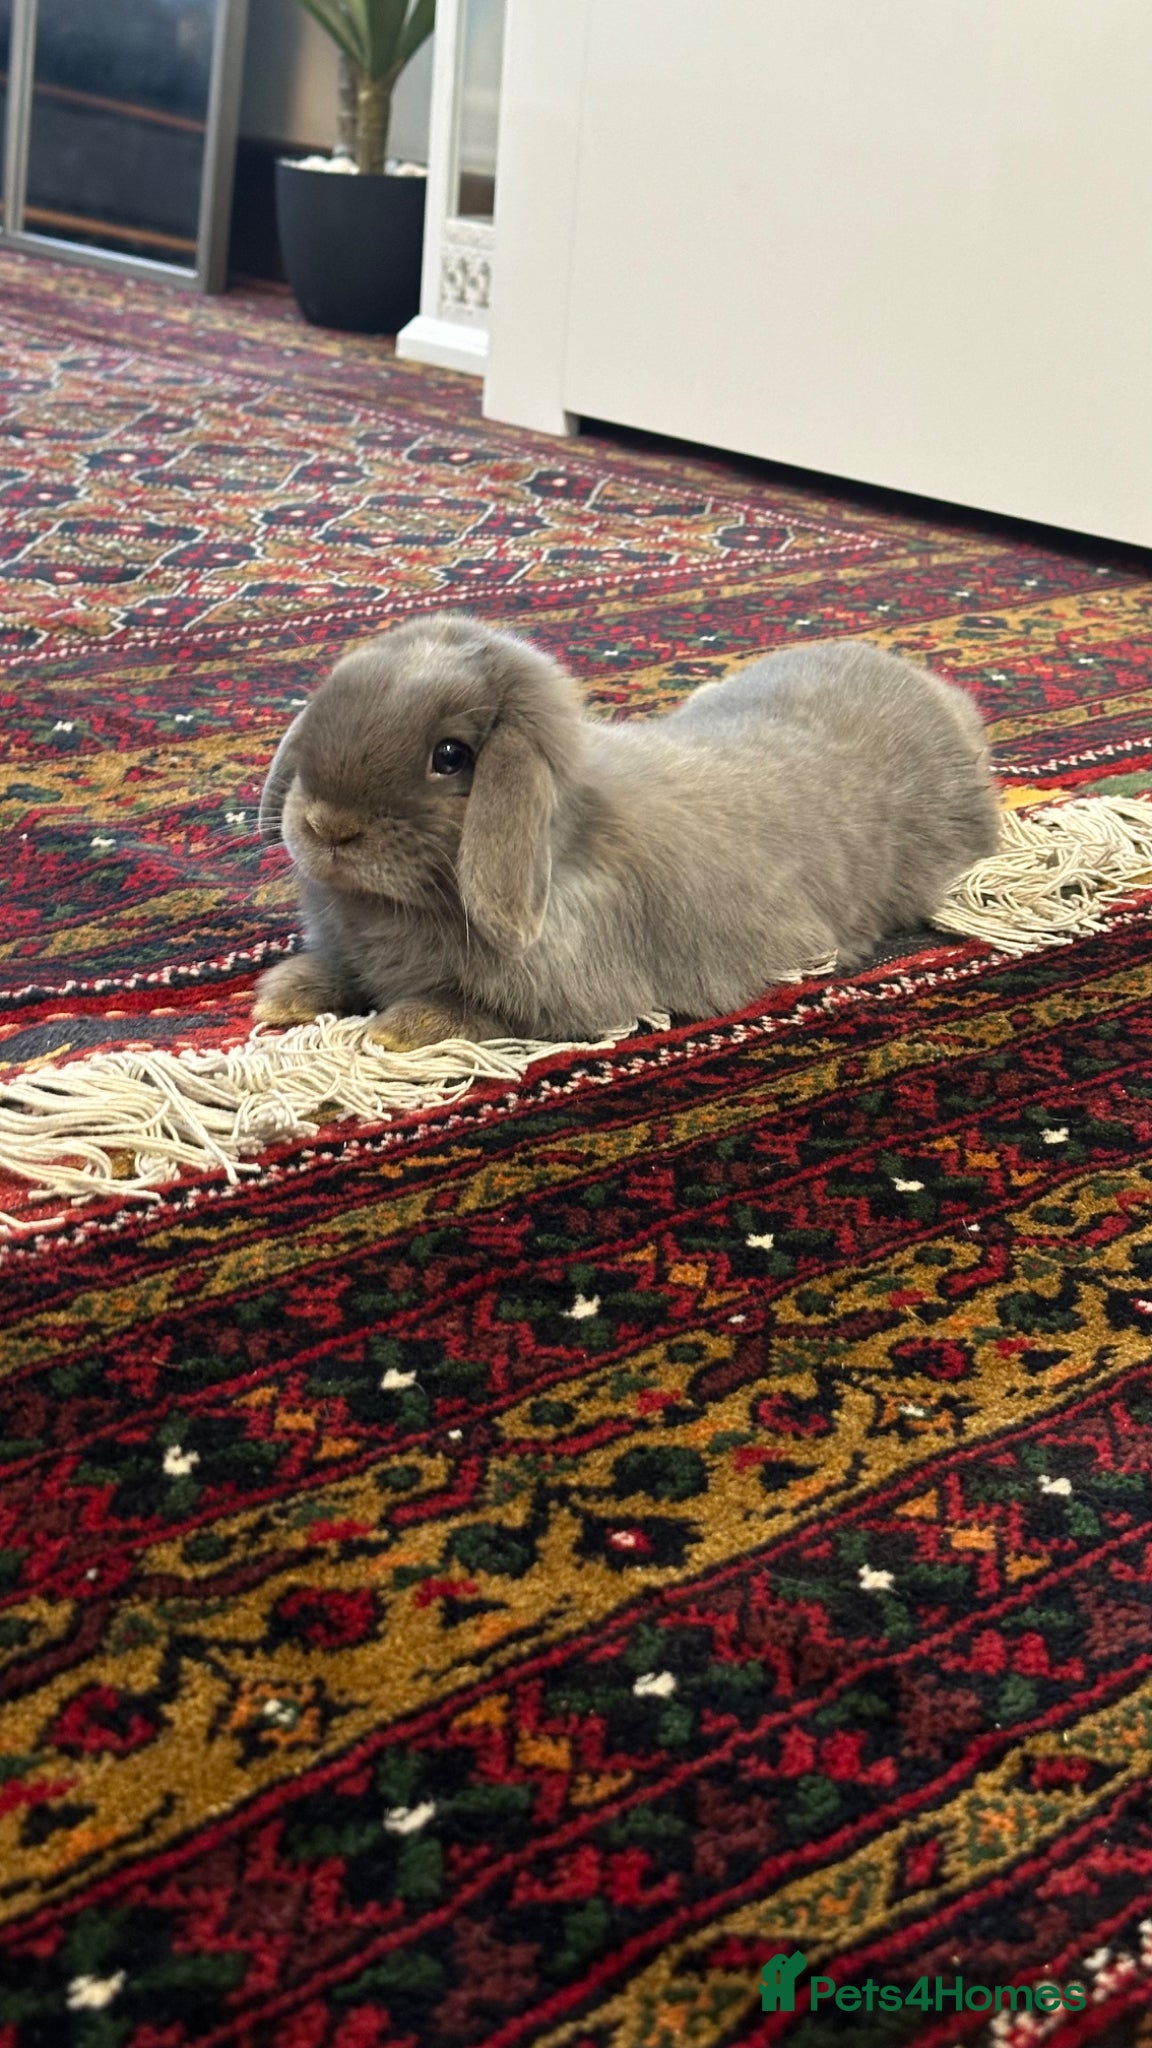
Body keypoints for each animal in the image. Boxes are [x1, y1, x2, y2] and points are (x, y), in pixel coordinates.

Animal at [253, 613, 1000, 1049]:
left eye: (451, 756)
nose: (327, 827)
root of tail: (940, 698)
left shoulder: (566, 1003)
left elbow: (478, 1012)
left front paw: (399, 1029)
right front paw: (283, 999)